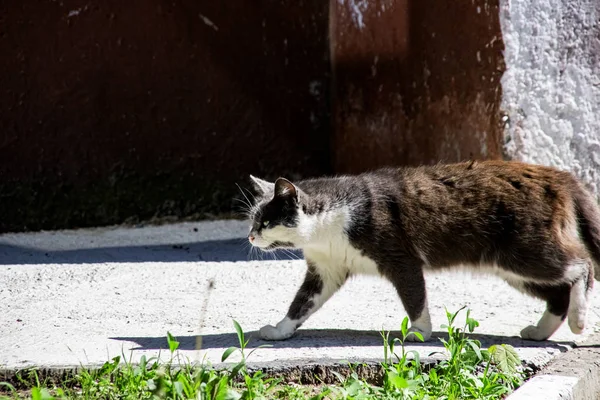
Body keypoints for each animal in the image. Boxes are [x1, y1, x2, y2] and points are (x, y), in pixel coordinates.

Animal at [243, 161, 600, 342]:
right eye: (252, 219)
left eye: (266, 221)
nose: (250, 236)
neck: (328, 228)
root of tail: (560, 175)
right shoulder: (326, 269)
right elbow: (302, 302)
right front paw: (280, 329)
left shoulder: (400, 257)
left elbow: (414, 295)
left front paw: (419, 332)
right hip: (513, 267)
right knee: (558, 293)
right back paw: (541, 331)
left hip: (526, 250)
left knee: (582, 266)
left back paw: (579, 319)